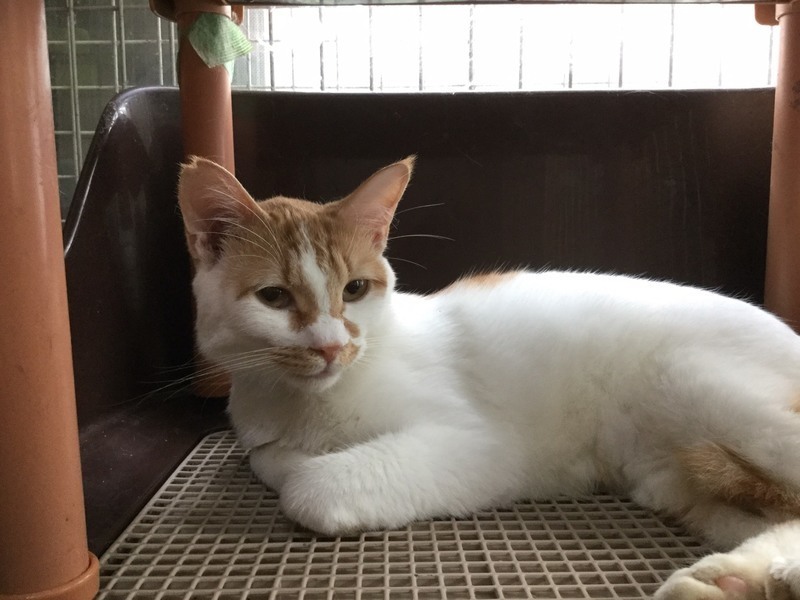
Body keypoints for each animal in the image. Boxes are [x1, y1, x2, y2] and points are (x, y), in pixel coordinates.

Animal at [179, 155, 800, 599]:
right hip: (682, 488)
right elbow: (267, 457)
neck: (303, 403)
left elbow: (309, 486)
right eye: (274, 297)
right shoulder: (258, 428)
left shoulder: (478, 444)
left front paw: (308, 471)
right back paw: (735, 582)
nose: (331, 346)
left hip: (698, 385)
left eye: (354, 289)